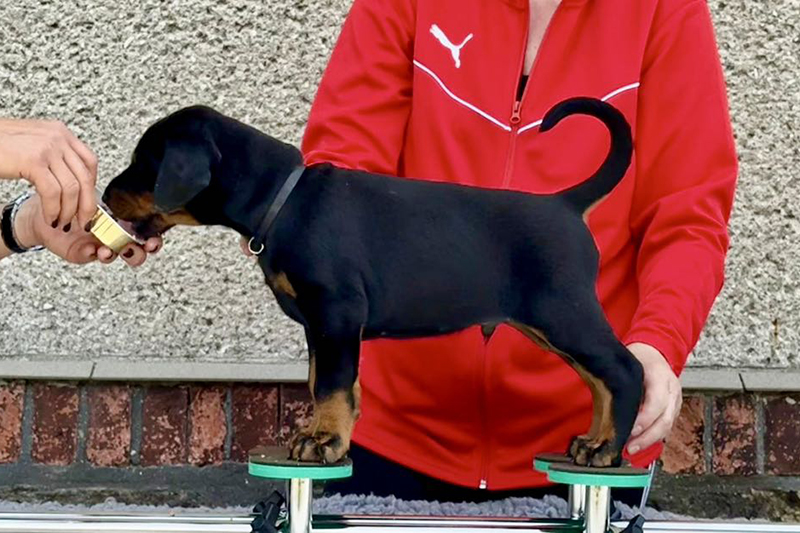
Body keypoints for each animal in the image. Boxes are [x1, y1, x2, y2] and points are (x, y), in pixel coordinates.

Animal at [104, 97, 643, 468]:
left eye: (145, 162)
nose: (105, 194)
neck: (284, 201)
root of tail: (566, 204)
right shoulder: (320, 325)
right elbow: (323, 379)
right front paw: (329, 432)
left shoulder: (336, 310)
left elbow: (332, 383)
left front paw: (323, 439)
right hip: (552, 324)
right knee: (599, 380)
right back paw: (592, 441)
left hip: (563, 312)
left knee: (625, 370)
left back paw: (606, 448)